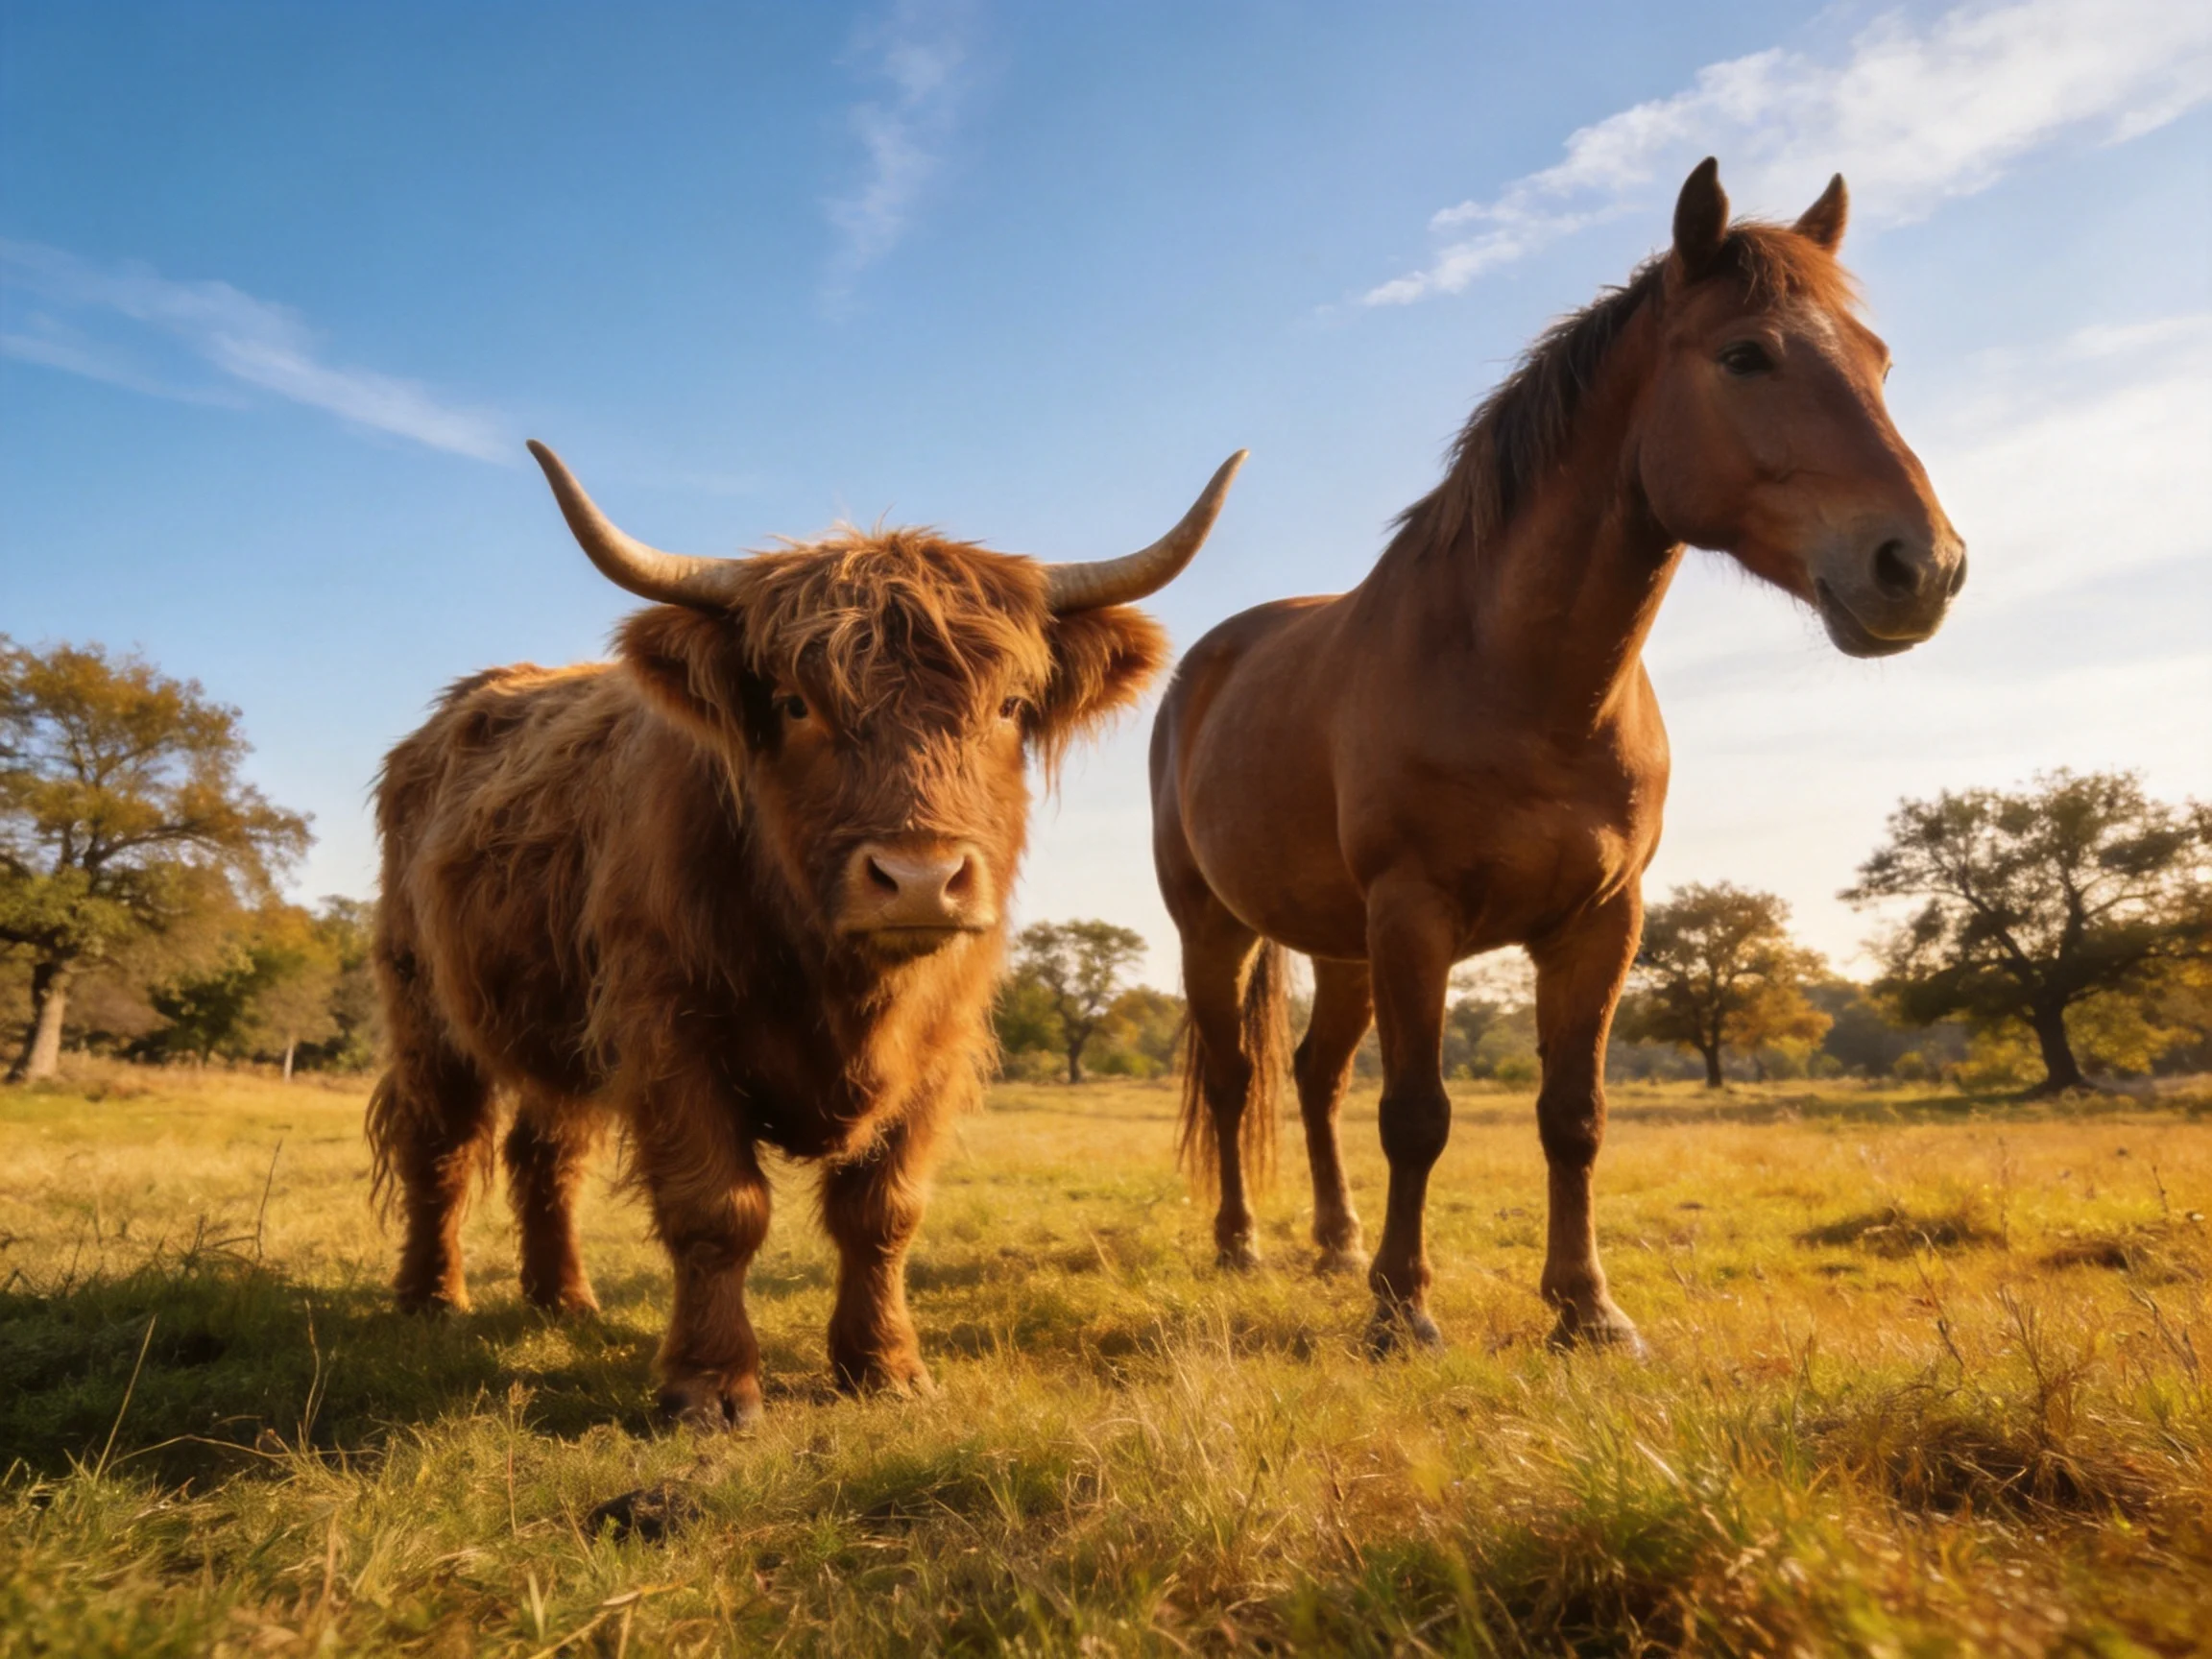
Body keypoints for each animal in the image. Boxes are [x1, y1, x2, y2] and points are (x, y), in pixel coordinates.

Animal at [369, 441, 1244, 1428]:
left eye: (1011, 706)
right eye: (794, 704)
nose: (918, 879)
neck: (844, 986)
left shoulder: (940, 1049)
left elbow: (884, 1210)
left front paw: (886, 1367)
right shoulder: (666, 1026)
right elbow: (720, 1208)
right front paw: (710, 1388)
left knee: (545, 1153)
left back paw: (565, 1300)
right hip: (423, 1001)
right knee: (440, 1145)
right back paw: (432, 1298)